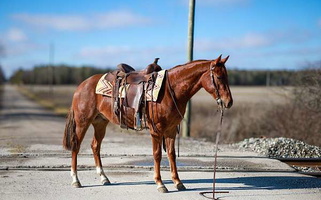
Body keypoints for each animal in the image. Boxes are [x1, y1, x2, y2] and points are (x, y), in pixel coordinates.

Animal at [63, 54, 232, 192]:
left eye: (226, 76)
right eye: (218, 77)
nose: (229, 102)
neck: (171, 90)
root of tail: (81, 85)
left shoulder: (171, 130)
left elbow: (171, 154)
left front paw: (178, 182)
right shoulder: (156, 130)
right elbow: (157, 155)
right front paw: (160, 184)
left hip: (100, 122)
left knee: (95, 146)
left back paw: (104, 178)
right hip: (82, 122)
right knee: (76, 147)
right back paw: (76, 180)